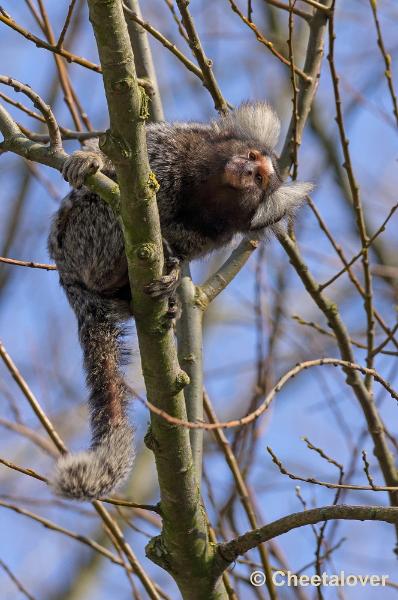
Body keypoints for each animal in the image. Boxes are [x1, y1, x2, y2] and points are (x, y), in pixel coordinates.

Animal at [48, 101, 312, 500]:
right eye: (252, 157)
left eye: (263, 180)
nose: (249, 170)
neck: (203, 189)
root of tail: (69, 277)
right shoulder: (169, 146)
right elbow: (116, 160)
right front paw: (88, 159)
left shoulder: (217, 233)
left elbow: (188, 241)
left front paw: (173, 270)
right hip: (83, 236)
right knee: (117, 206)